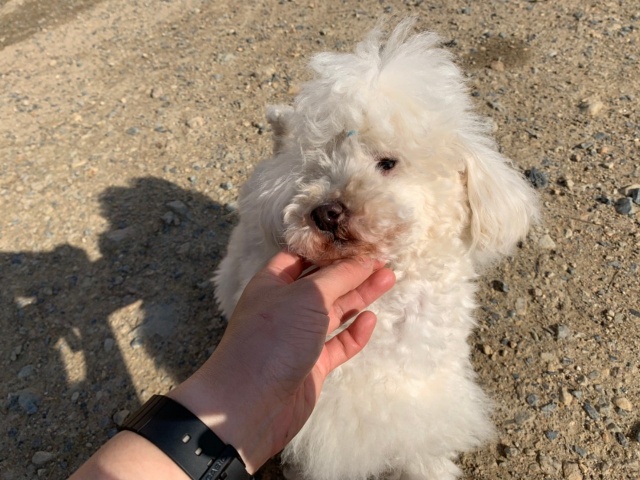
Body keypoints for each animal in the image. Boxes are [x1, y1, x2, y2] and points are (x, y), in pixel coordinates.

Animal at [214, 19, 538, 480]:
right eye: (317, 169)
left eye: (387, 163)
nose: (326, 212)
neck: (390, 304)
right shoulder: (326, 417)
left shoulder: (427, 383)